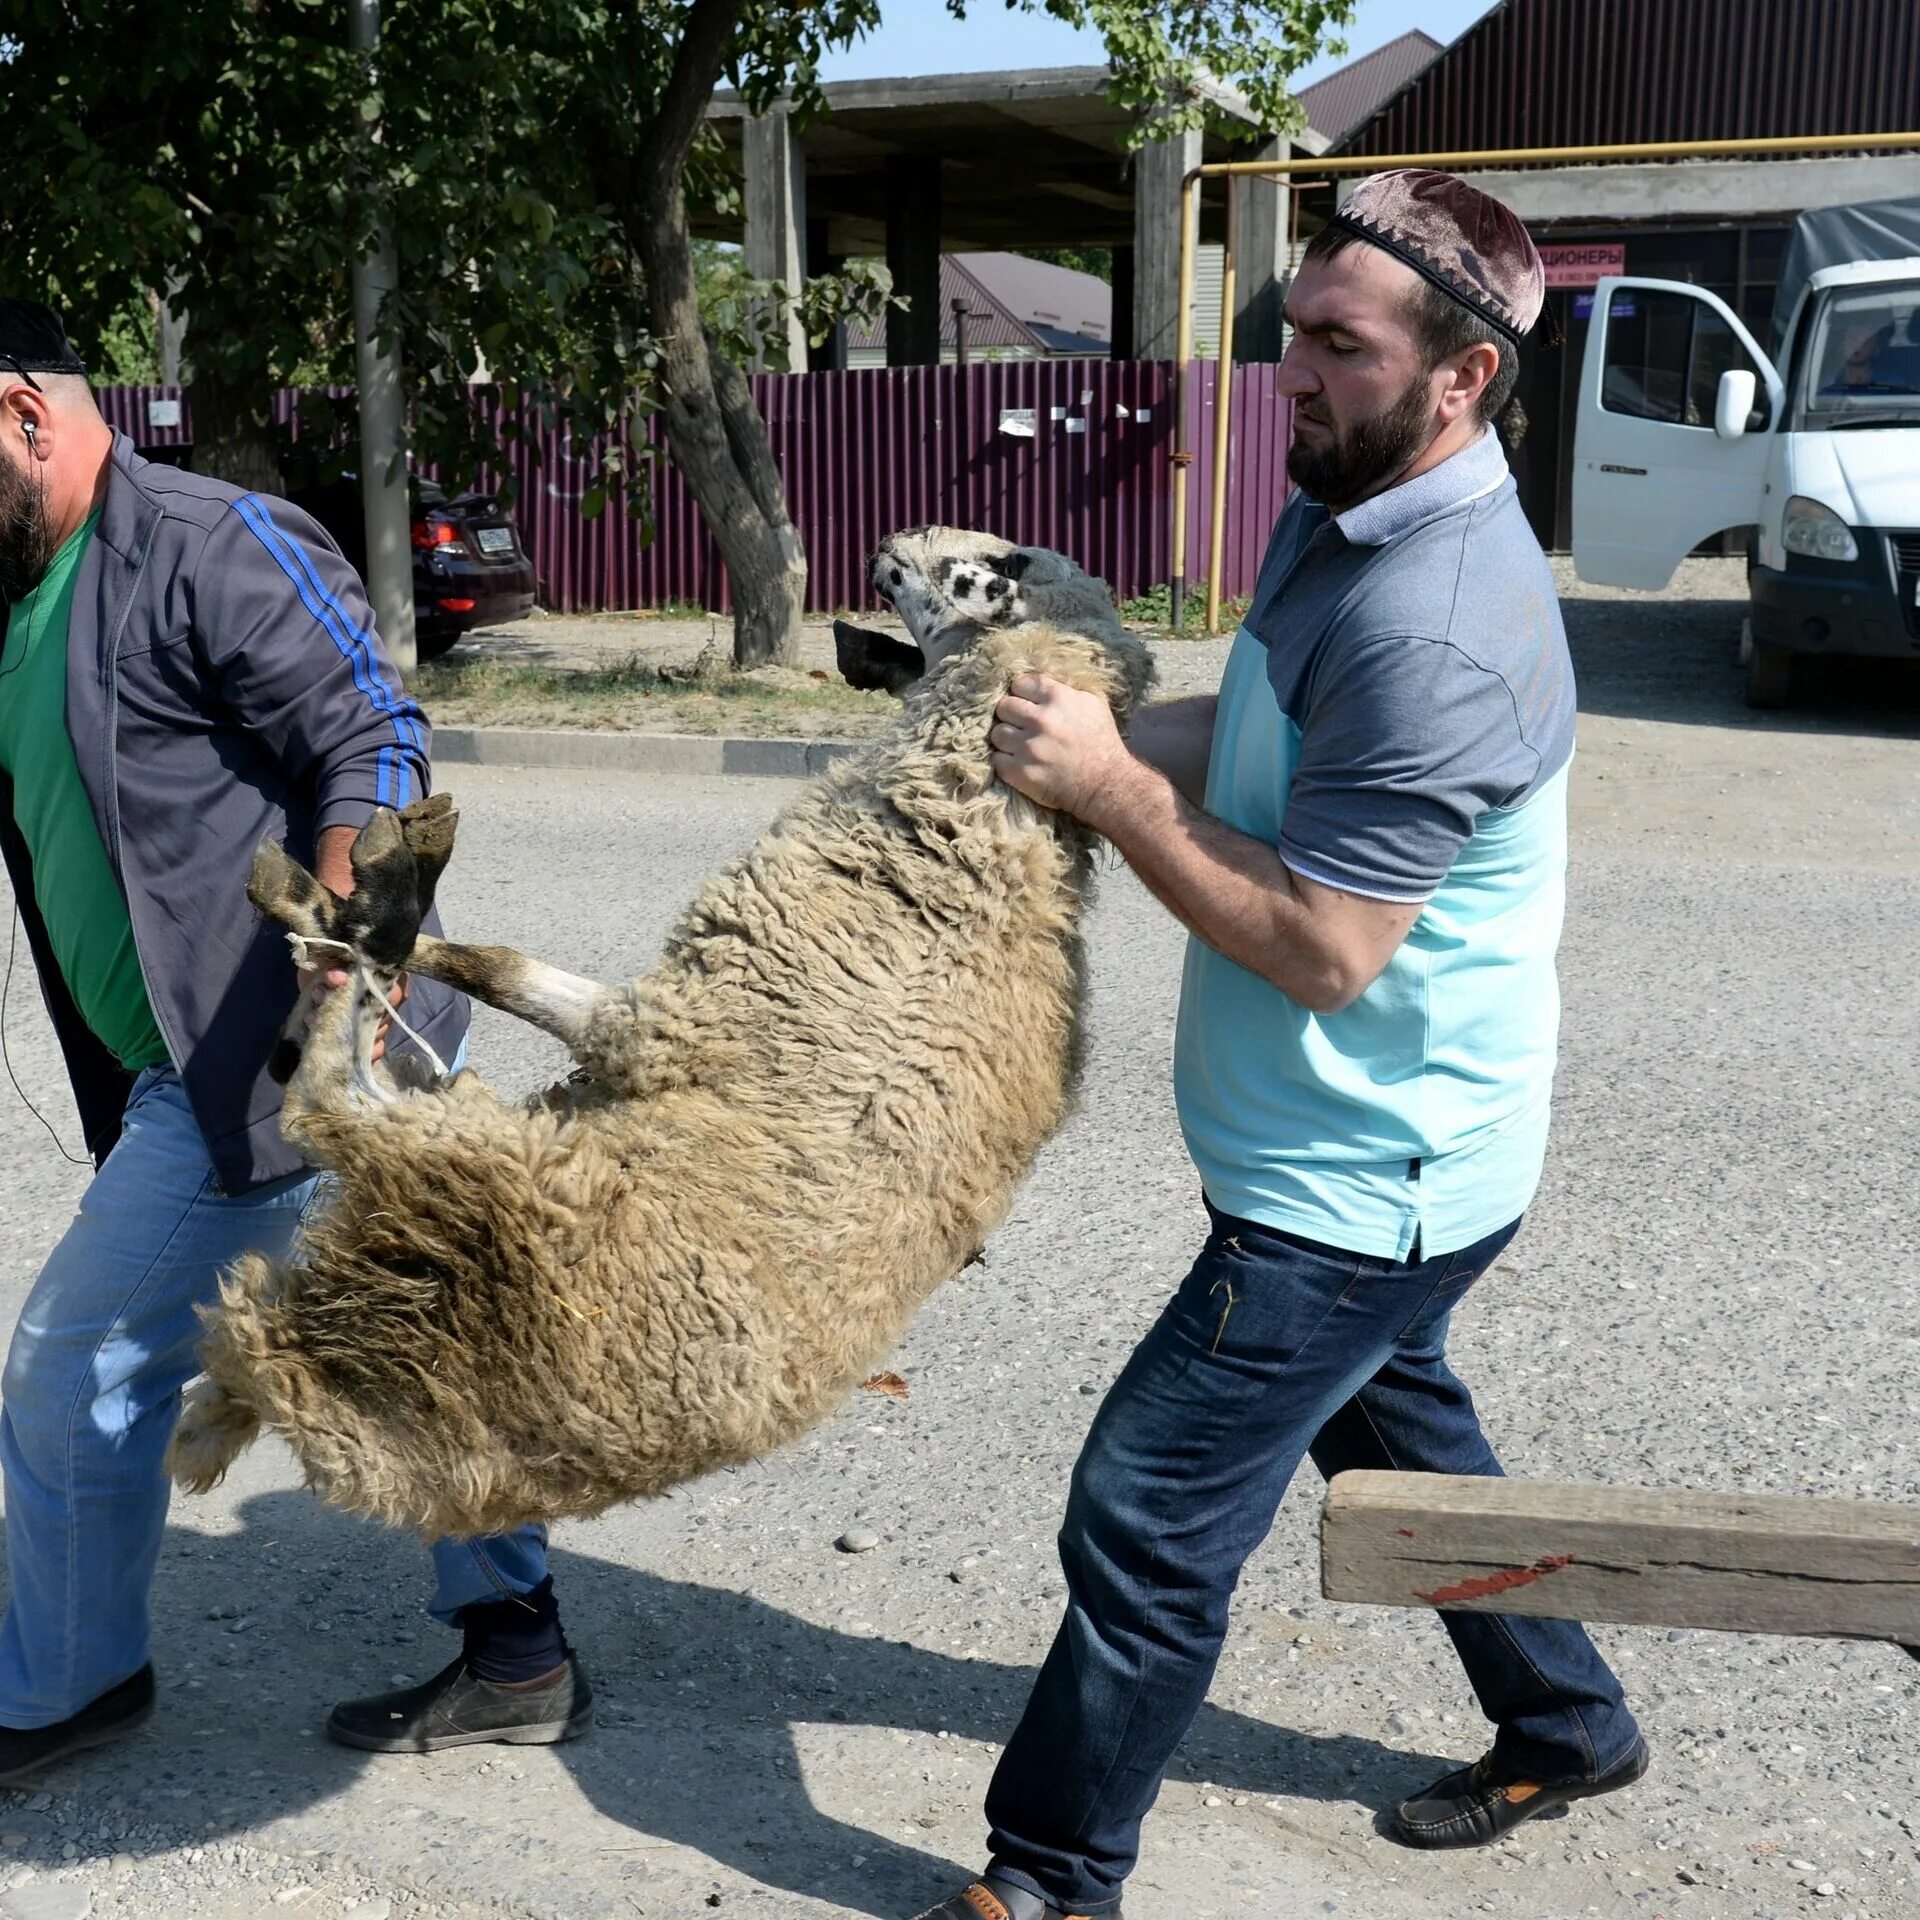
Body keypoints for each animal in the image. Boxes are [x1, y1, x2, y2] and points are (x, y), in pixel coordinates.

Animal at [165, 518, 1144, 1536]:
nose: (889, 540)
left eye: (996, 564)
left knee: (321, 1099)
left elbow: (496, 964)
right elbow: (486, 964)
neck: (984, 844)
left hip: (482, 1166)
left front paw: (359, 920)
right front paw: (343, 917)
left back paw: (374, 901)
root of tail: (335, 1375)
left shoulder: (657, 1020)